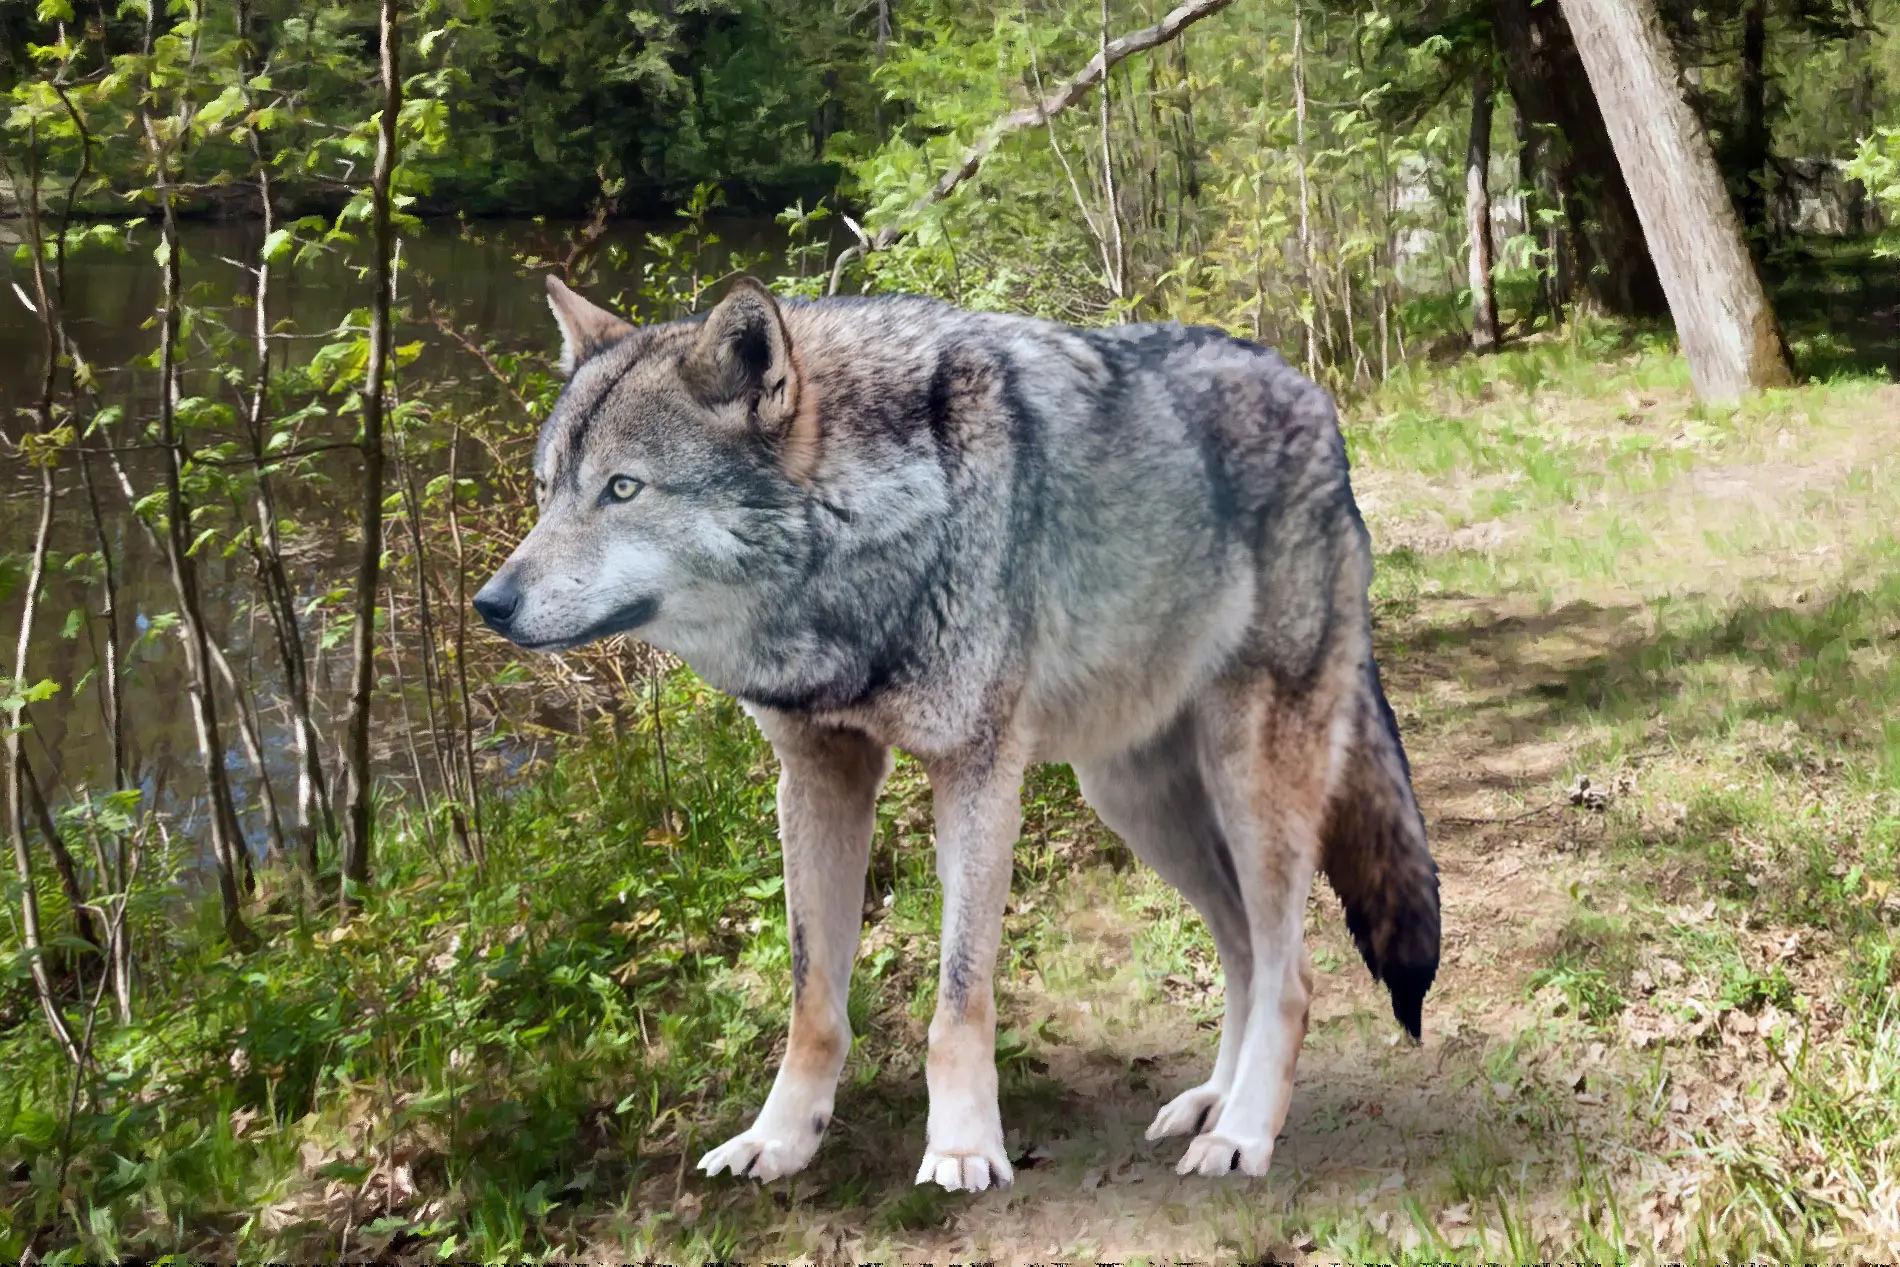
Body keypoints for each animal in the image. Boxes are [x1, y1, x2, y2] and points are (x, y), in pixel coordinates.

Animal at [475, 275, 1436, 1192]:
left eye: (623, 488)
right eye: (546, 492)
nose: (491, 603)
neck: (869, 533)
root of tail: (1316, 398)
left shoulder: (976, 771)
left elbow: (958, 999)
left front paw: (964, 1150)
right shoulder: (816, 775)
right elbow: (812, 1002)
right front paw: (778, 1140)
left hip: (1249, 784)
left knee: (1290, 972)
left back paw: (1241, 1135)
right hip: (1134, 800)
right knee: (1241, 953)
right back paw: (1210, 1102)